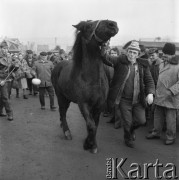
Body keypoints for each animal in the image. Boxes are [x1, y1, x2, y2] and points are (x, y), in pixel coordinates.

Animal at [51, 20, 119, 153]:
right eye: (88, 26)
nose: (112, 24)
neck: (92, 79)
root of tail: (58, 65)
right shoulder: (83, 104)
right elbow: (91, 125)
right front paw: (88, 144)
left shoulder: (99, 104)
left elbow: (95, 125)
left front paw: (93, 144)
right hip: (61, 96)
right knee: (62, 112)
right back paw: (66, 132)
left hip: (67, 98)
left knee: (63, 112)